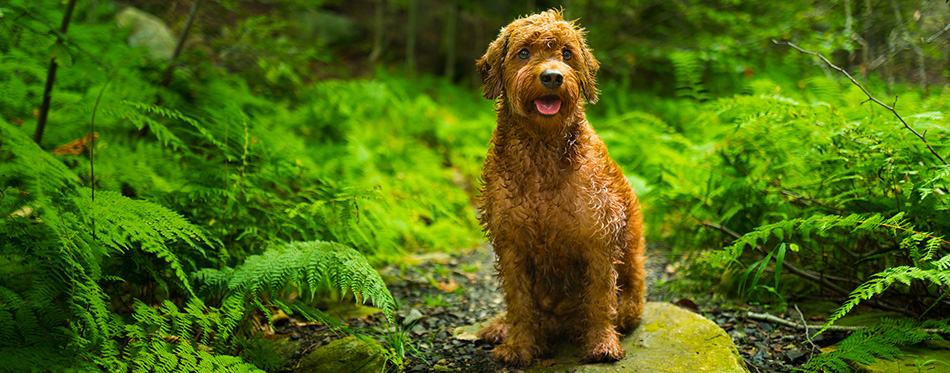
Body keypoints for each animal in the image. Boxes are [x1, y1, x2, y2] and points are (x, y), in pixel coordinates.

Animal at [476, 9, 648, 366]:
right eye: (524, 52)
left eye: (566, 54)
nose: (553, 77)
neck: (542, 151)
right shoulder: (511, 243)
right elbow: (519, 303)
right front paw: (520, 346)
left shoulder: (599, 238)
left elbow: (599, 299)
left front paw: (601, 343)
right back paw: (503, 328)